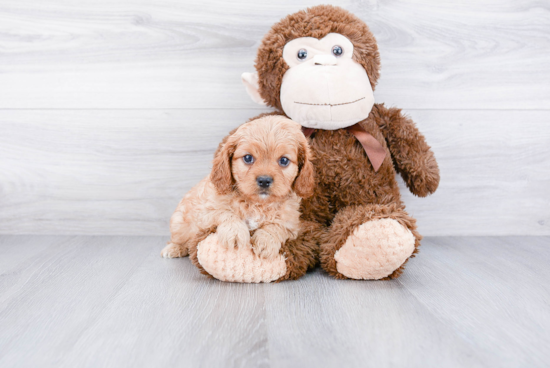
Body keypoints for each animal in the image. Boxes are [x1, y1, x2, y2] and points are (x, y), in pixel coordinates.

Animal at [160, 115, 314, 262]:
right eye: (248, 158)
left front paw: (266, 242)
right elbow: (225, 212)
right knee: (180, 239)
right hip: (178, 222)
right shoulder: (205, 210)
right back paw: (173, 248)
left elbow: (276, 226)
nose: (264, 180)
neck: (257, 204)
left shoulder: (291, 223)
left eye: (284, 160)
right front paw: (235, 233)